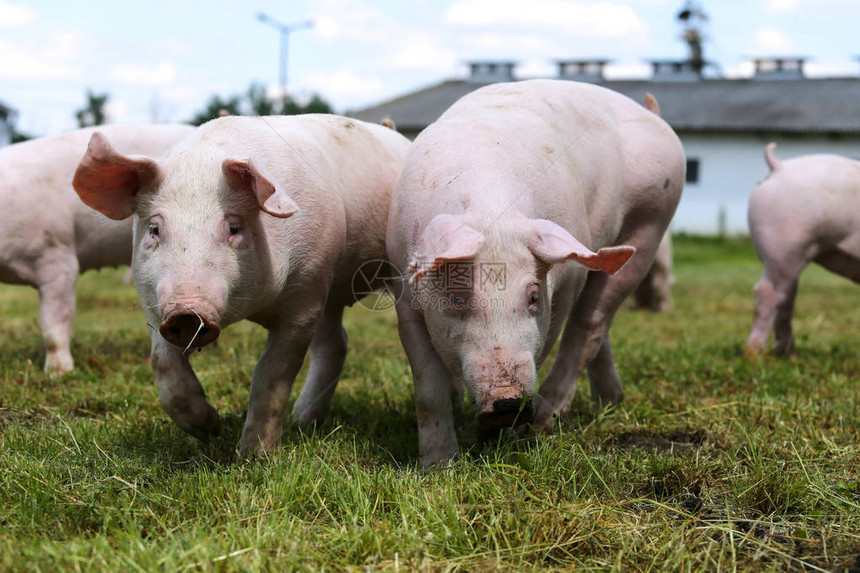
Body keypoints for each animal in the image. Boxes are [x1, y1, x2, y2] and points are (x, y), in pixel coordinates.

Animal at [72, 111, 412, 452]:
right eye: (155, 229)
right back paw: (301, 422)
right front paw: (208, 430)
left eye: (234, 227)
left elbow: (271, 372)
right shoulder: (153, 302)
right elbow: (162, 363)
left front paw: (253, 454)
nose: (186, 312)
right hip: (329, 294)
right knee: (335, 344)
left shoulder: (305, 293)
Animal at [388, 79, 684, 464]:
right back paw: (610, 402)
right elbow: (427, 387)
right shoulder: (404, 295)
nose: (506, 402)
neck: (491, 206)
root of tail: (652, 114)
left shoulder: (563, 288)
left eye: (532, 297)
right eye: (455, 299)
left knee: (589, 324)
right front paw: (439, 465)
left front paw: (505, 438)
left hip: (650, 221)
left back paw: (544, 421)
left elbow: (548, 344)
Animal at [744, 142, 860, 356]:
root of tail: (779, 166)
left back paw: (788, 356)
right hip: (784, 245)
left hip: (784, 256)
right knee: (766, 293)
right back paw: (755, 354)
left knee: (785, 299)